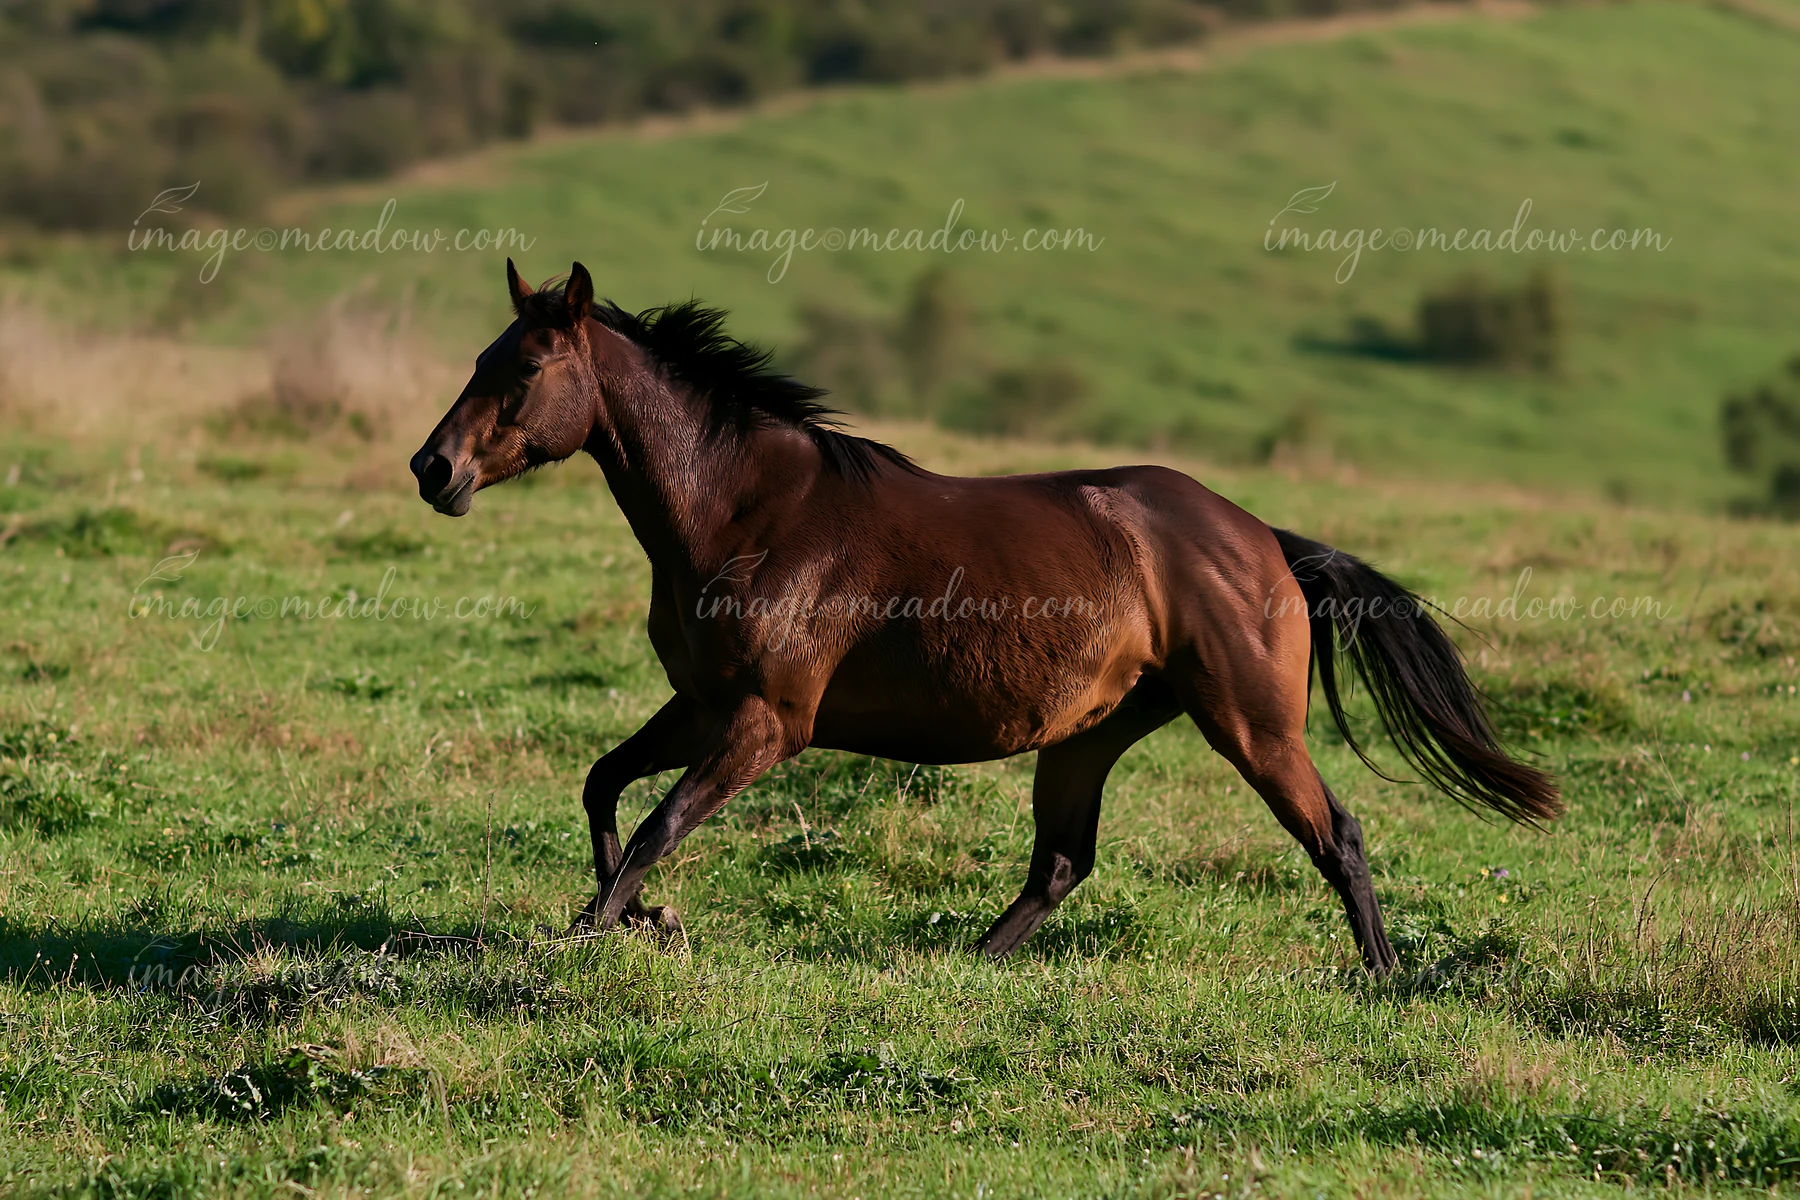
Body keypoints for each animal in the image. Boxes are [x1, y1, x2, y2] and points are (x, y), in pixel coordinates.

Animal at [409, 260, 1559, 973]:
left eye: (524, 368)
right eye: (479, 359)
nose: (433, 469)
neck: (747, 512)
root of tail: (1264, 540)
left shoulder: (767, 723)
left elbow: (658, 821)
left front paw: (588, 935)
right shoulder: (699, 704)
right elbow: (605, 787)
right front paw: (635, 916)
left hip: (1252, 725)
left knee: (1337, 834)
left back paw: (1384, 974)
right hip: (1090, 735)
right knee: (1062, 863)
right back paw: (967, 963)